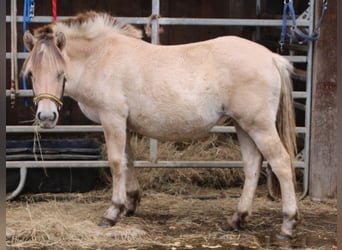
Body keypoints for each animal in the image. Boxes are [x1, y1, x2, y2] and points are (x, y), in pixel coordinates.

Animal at [22, 11, 300, 238]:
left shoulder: (112, 118)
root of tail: (271, 57)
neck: (101, 57)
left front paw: (112, 212)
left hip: (259, 126)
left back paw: (287, 225)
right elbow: (128, 160)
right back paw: (236, 219)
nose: (46, 117)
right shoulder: (123, 123)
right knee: (252, 166)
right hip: (244, 126)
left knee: (281, 163)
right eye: (31, 74)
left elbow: (116, 162)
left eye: (61, 73)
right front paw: (130, 204)